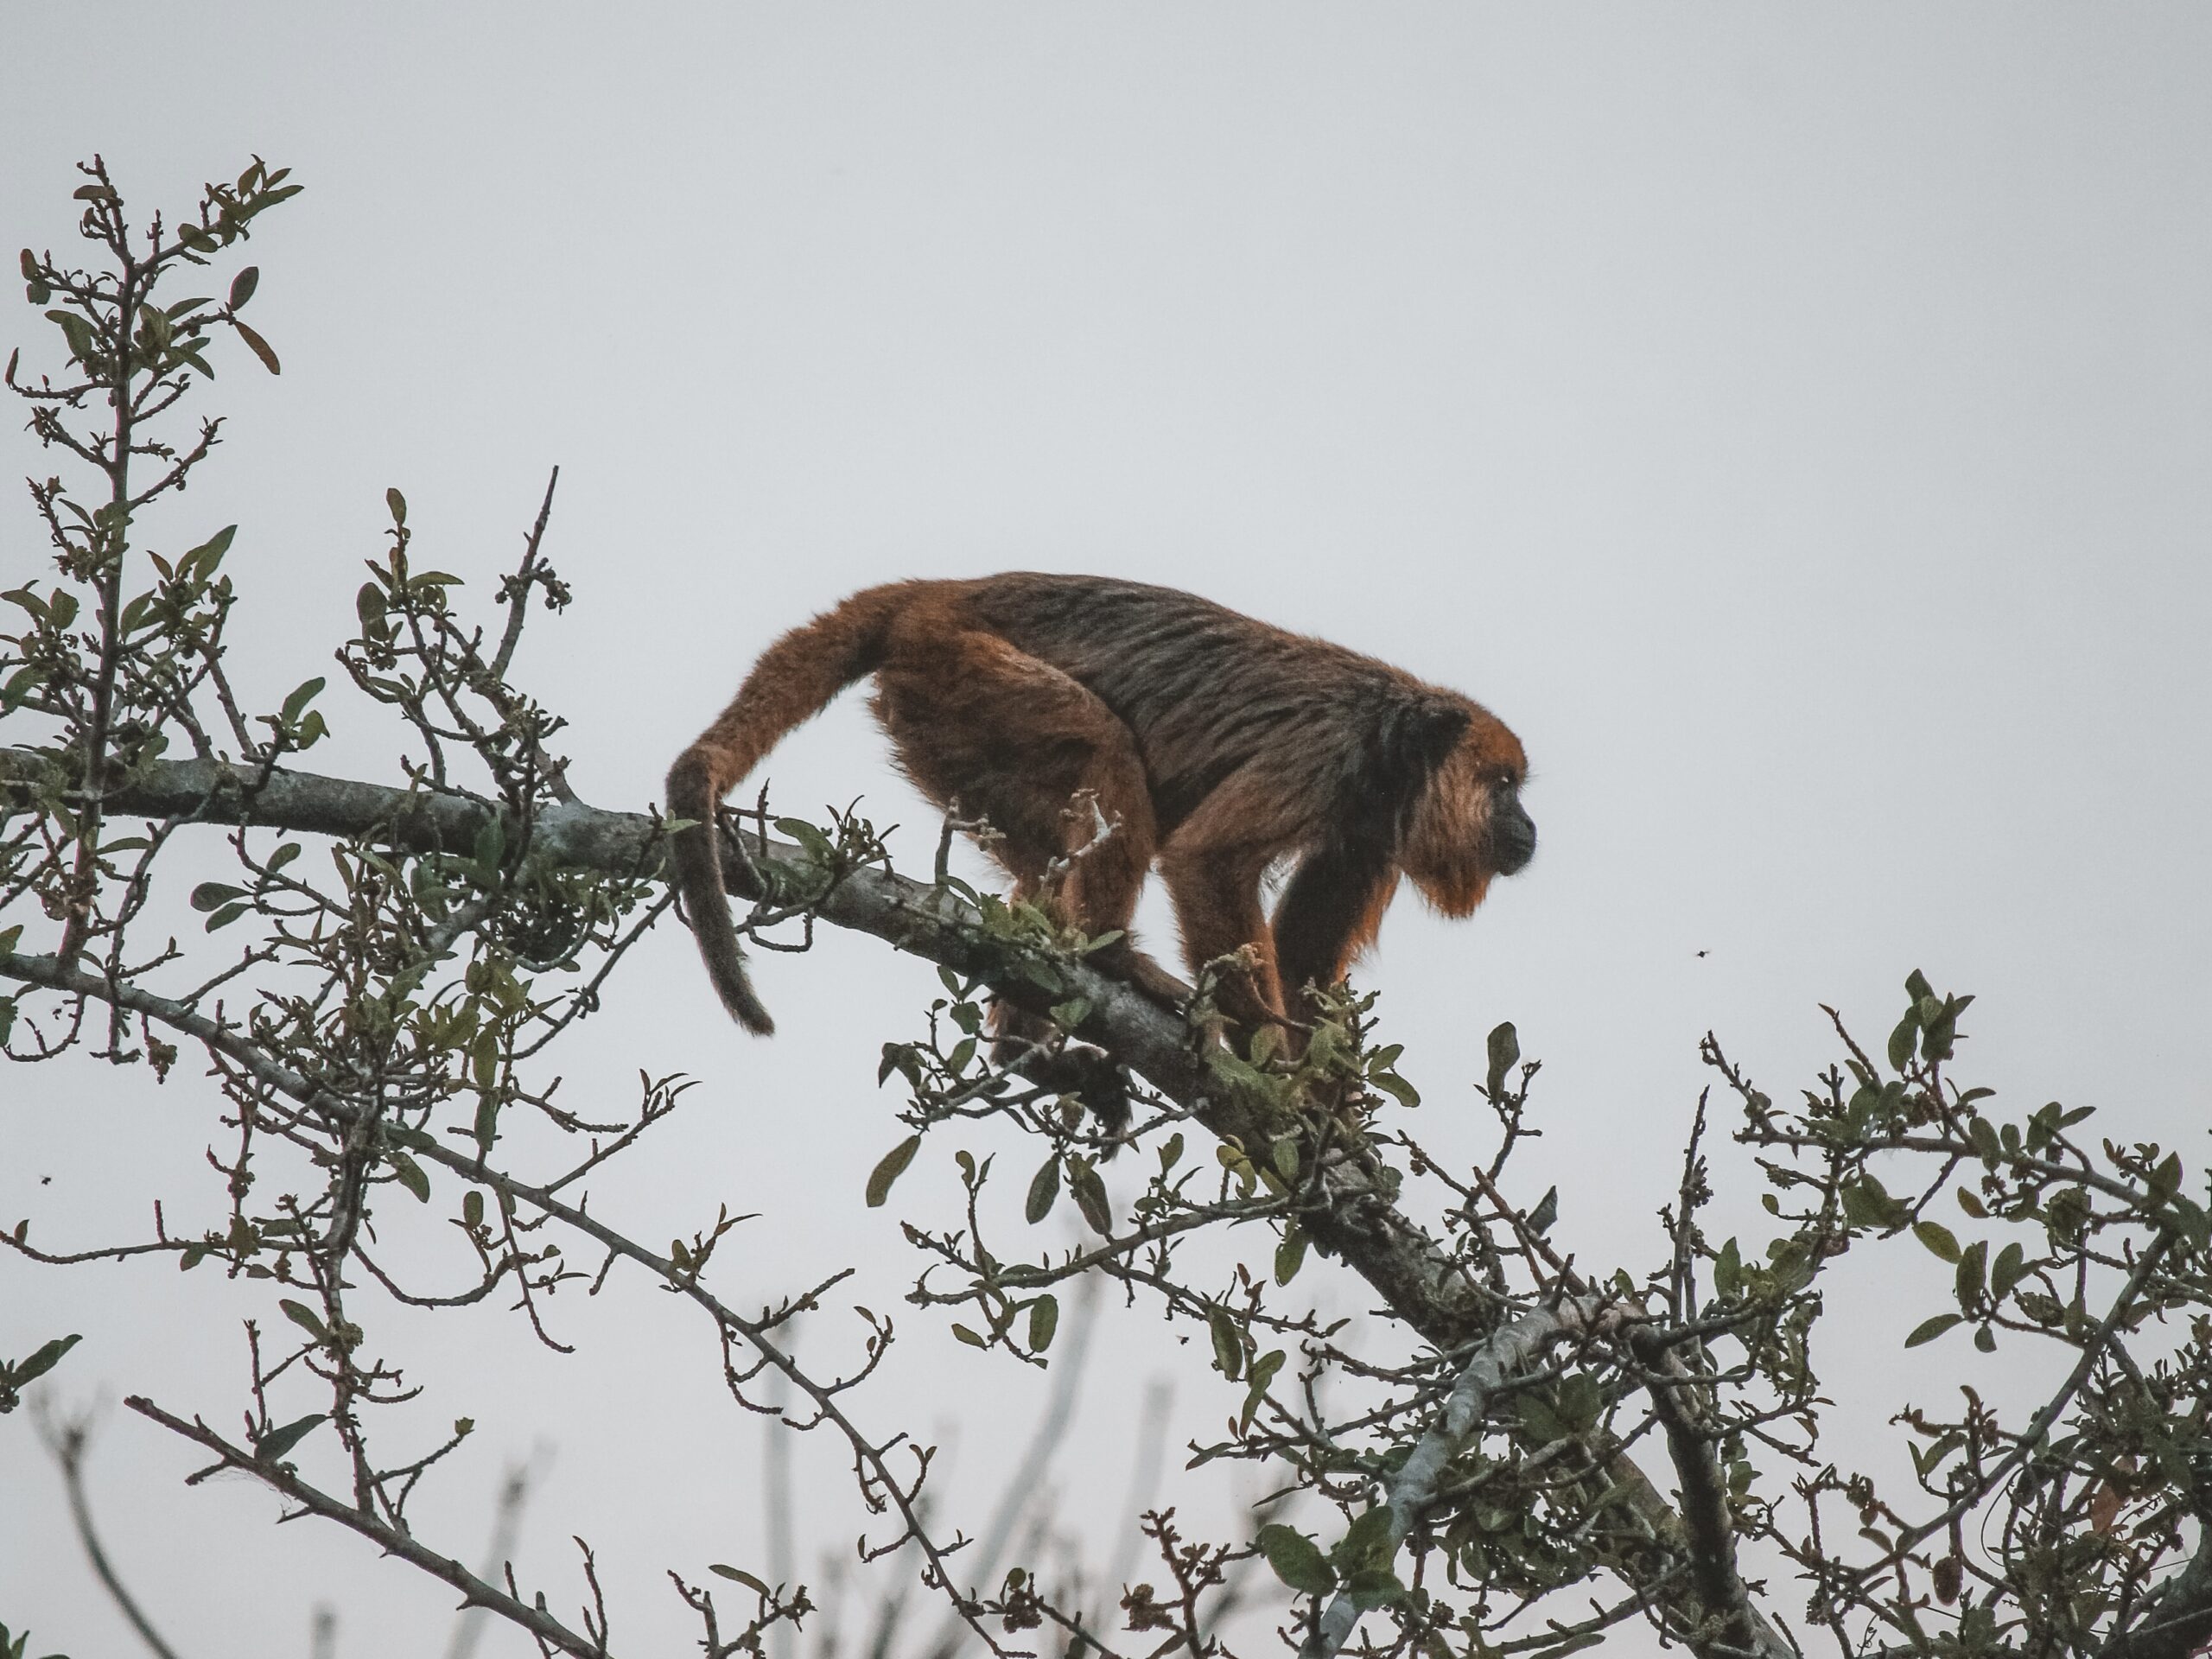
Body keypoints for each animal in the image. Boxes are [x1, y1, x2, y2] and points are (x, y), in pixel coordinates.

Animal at [665, 573, 1535, 1048]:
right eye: (1504, 785)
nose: (1530, 829)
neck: (1395, 752)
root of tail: (943, 591)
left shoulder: (1369, 830)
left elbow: (1306, 956)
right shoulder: (1325, 757)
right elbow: (1206, 860)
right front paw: (1274, 1082)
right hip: (959, 667)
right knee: (1107, 750)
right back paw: (1107, 958)